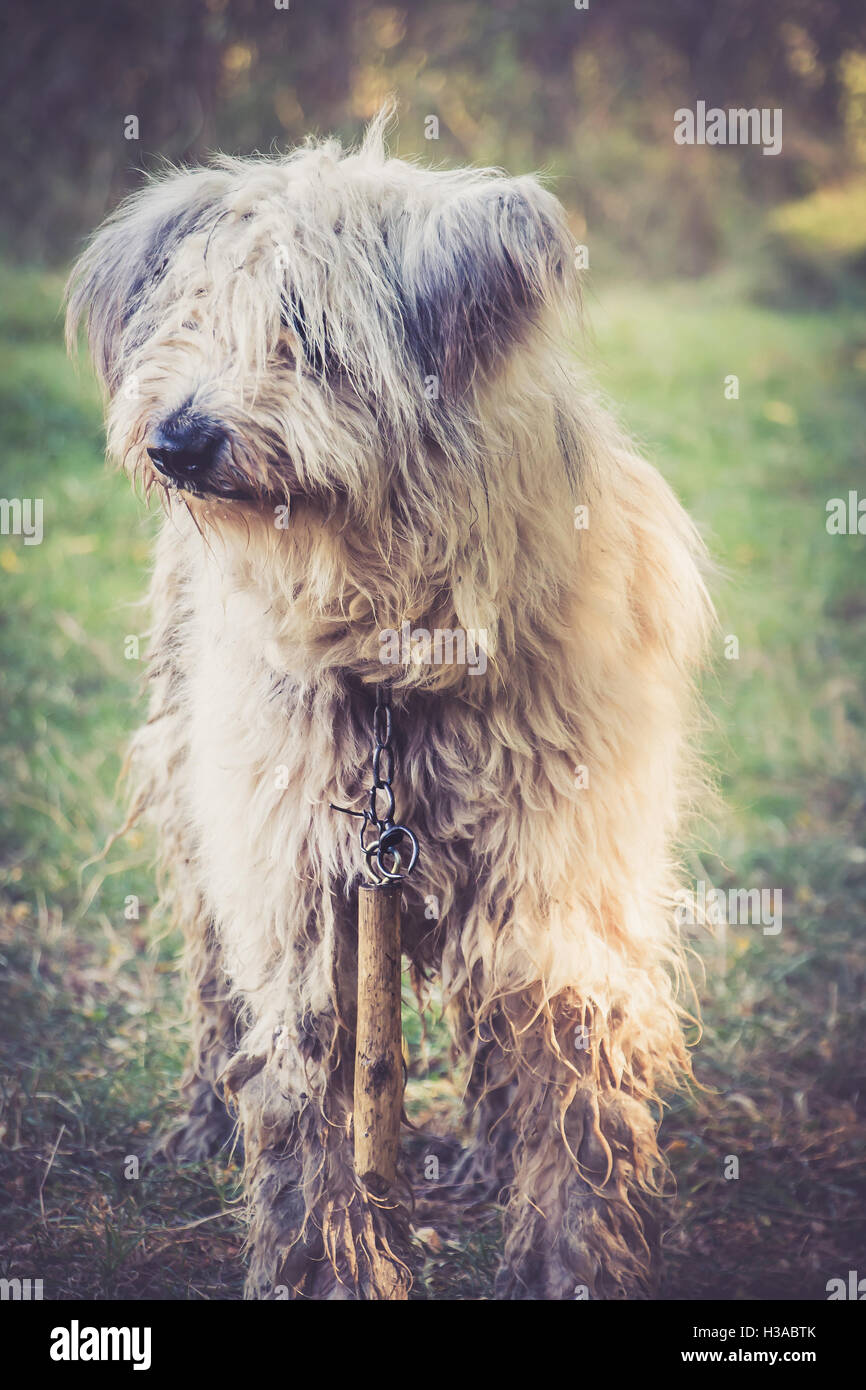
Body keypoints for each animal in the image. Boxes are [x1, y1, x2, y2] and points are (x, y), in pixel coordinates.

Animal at [67, 111, 717, 1301]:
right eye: (188, 319)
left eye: (305, 331)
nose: (175, 440)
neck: (400, 655)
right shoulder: (301, 885)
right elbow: (306, 1104)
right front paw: (325, 1267)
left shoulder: (564, 884)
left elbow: (575, 1091)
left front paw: (569, 1262)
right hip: (201, 810)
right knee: (214, 981)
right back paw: (202, 1121)